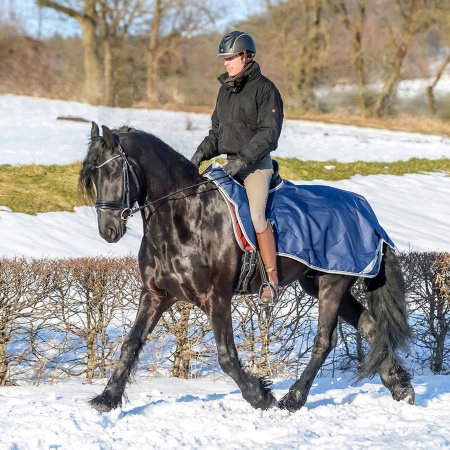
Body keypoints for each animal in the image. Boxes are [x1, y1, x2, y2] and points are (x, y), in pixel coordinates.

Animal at [80, 122, 414, 412]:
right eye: (92, 177)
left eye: (113, 170)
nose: (108, 230)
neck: (183, 216)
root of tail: (368, 214)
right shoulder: (156, 294)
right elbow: (131, 343)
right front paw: (107, 398)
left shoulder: (216, 298)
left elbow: (227, 357)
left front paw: (260, 395)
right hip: (320, 284)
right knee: (370, 325)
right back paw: (401, 387)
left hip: (333, 283)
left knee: (324, 341)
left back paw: (293, 399)